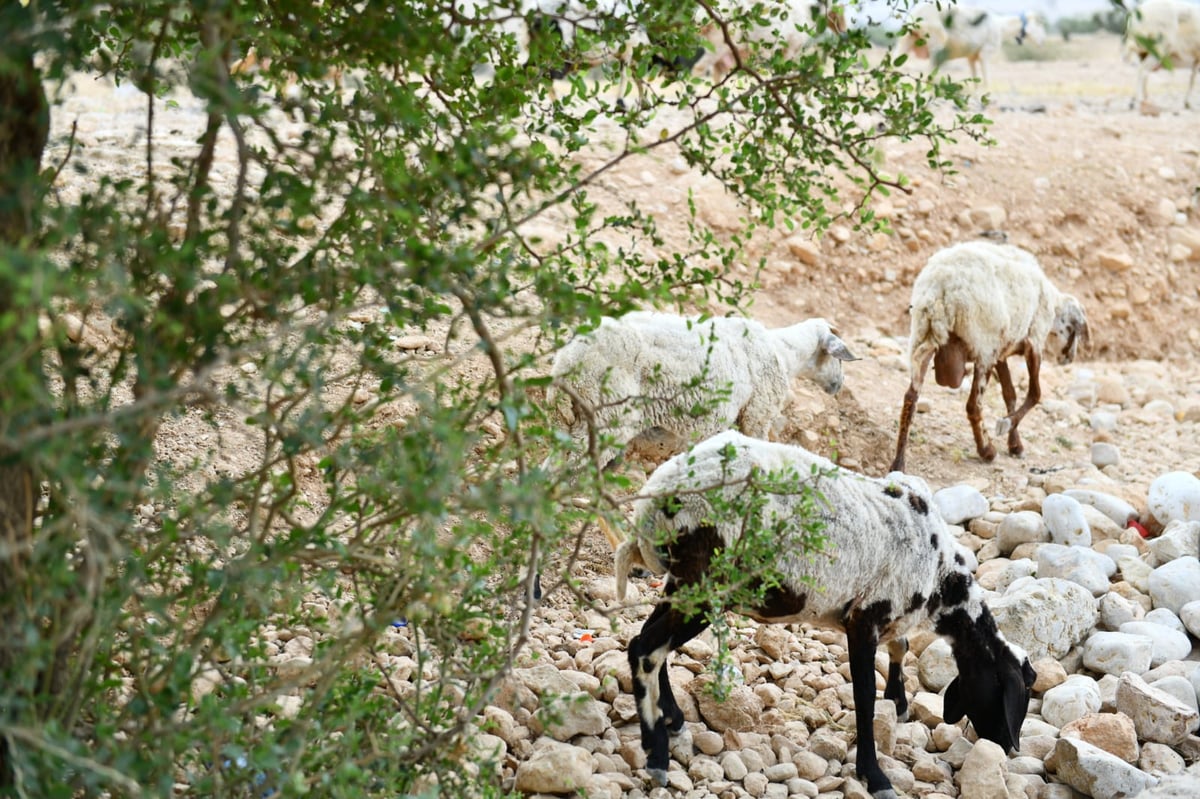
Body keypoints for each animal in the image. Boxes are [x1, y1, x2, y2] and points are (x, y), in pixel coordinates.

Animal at [614, 431, 1036, 791]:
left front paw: (898, 703)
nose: (1005, 747)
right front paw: (875, 776)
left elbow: (899, 648)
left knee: (649, 638)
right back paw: (656, 755)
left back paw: (673, 718)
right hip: (711, 581)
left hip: (685, 580)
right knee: (646, 649)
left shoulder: (887, 614)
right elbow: (864, 697)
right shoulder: (865, 617)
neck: (942, 577)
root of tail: (655, 500)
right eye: (1016, 692)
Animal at [888, 239, 1094, 470]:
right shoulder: (1033, 343)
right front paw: (1006, 425)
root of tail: (940, 289)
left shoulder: (1001, 352)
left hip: (922, 337)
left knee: (910, 398)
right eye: (1075, 329)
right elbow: (1035, 393)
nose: (1069, 359)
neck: (1053, 306)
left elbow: (1010, 394)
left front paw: (1015, 445)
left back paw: (898, 464)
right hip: (982, 348)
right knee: (973, 405)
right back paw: (987, 450)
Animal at [897, 2, 1046, 91]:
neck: (1001, 27)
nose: (1042, 42)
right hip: (936, 39)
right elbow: (986, 78)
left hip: (907, 38)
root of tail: (915, 15)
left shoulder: (972, 57)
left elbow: (975, 79)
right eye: (1039, 25)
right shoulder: (986, 52)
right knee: (931, 70)